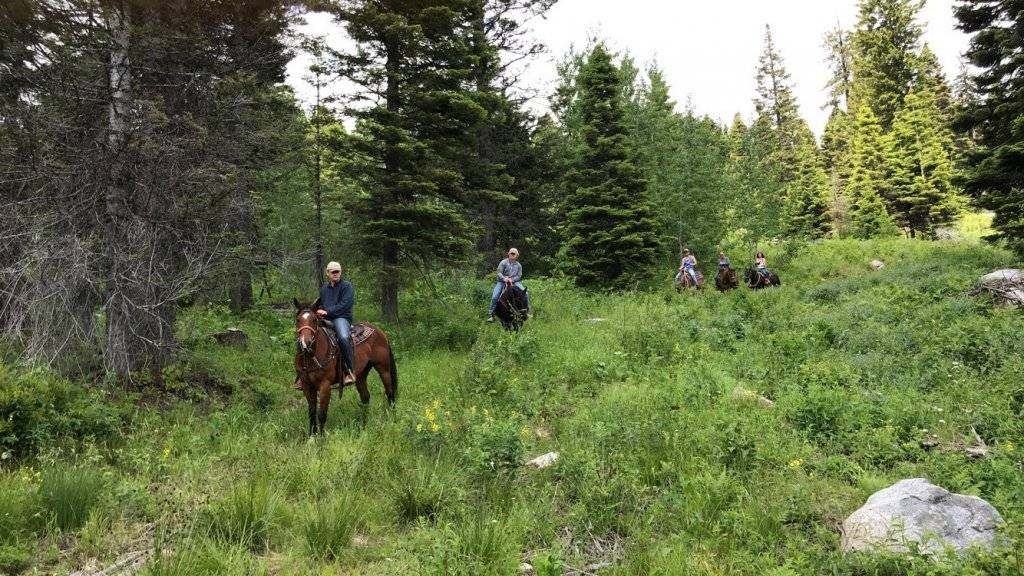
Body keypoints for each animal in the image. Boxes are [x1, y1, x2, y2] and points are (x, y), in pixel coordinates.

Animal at [294, 297, 397, 432]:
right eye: (298, 320)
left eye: (314, 320)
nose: (305, 342)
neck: (311, 356)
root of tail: (379, 331)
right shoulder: (307, 385)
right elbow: (311, 413)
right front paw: (312, 435)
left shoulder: (325, 385)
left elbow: (322, 414)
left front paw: (321, 436)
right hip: (361, 374)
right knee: (365, 397)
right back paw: (363, 424)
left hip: (383, 367)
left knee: (390, 392)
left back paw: (391, 418)